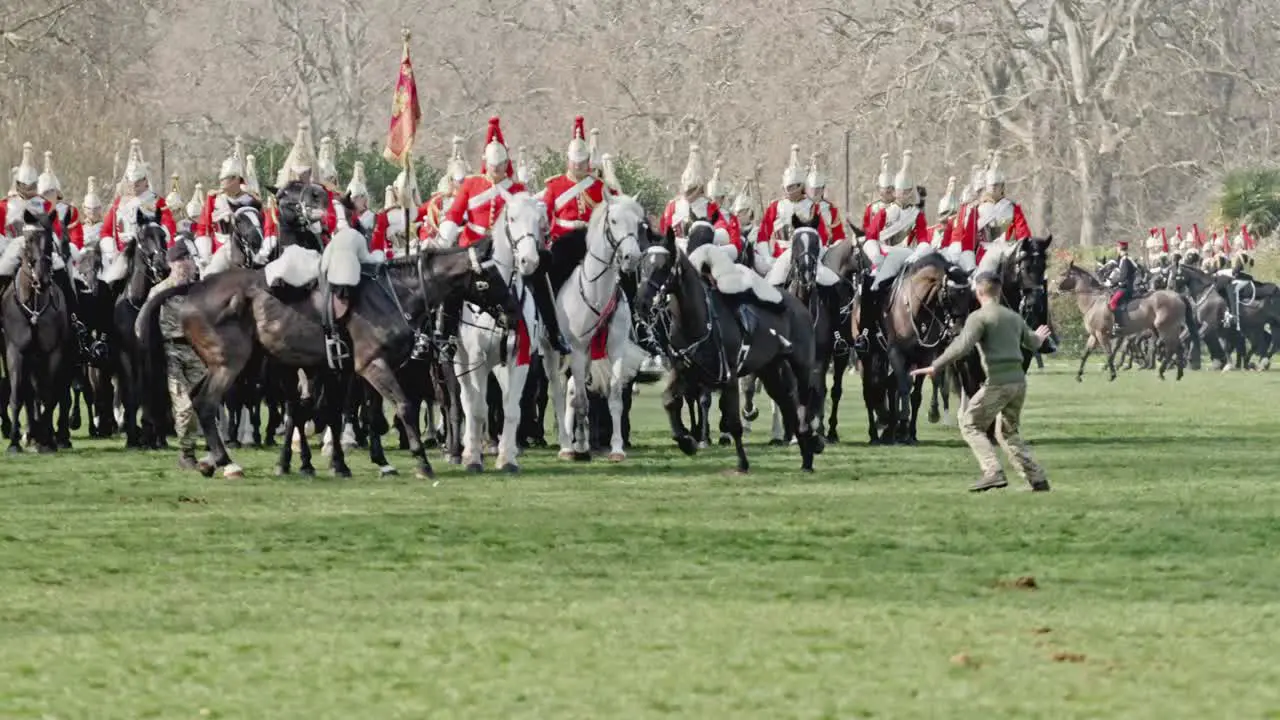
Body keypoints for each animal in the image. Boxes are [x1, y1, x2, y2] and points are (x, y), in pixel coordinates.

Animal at [0, 207, 72, 450]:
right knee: (28, 394)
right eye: (28, 239)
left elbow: (49, 395)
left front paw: (47, 441)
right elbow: (17, 395)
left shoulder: (53, 353)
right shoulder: (16, 351)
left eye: (49, 241)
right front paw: (14, 442)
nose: (41, 280)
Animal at [455, 190, 545, 471]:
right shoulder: (477, 359)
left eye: (539, 220)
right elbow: (477, 408)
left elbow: (512, 408)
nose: (529, 261)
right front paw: (474, 458)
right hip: (460, 361)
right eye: (512, 218)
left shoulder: (520, 358)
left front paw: (508, 459)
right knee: (468, 400)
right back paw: (467, 450)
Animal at [540, 193, 645, 458]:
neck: (595, 293)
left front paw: (616, 448)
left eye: (638, 223)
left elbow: (615, 396)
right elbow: (582, 401)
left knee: (570, 389)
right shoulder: (576, 350)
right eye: (614, 220)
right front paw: (579, 445)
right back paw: (567, 445)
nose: (631, 258)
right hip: (553, 351)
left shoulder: (615, 348)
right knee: (558, 392)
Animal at [1054, 258, 1192, 381]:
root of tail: (1178, 296)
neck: (1093, 301)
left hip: (1165, 328)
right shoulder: (1094, 335)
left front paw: (1112, 375)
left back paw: (1161, 372)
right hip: (1167, 329)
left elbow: (1109, 353)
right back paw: (1178, 374)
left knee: (1171, 348)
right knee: (1177, 347)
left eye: (1063, 274)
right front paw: (1078, 375)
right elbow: (1085, 354)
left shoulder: (1101, 334)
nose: (1055, 288)